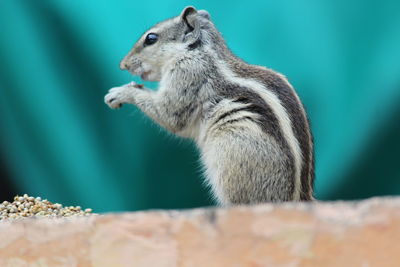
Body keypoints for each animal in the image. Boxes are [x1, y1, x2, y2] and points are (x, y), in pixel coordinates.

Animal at [105, 6, 316, 204]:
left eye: (151, 38)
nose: (122, 65)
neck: (199, 51)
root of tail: (298, 198)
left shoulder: (186, 75)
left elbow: (170, 115)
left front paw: (121, 92)